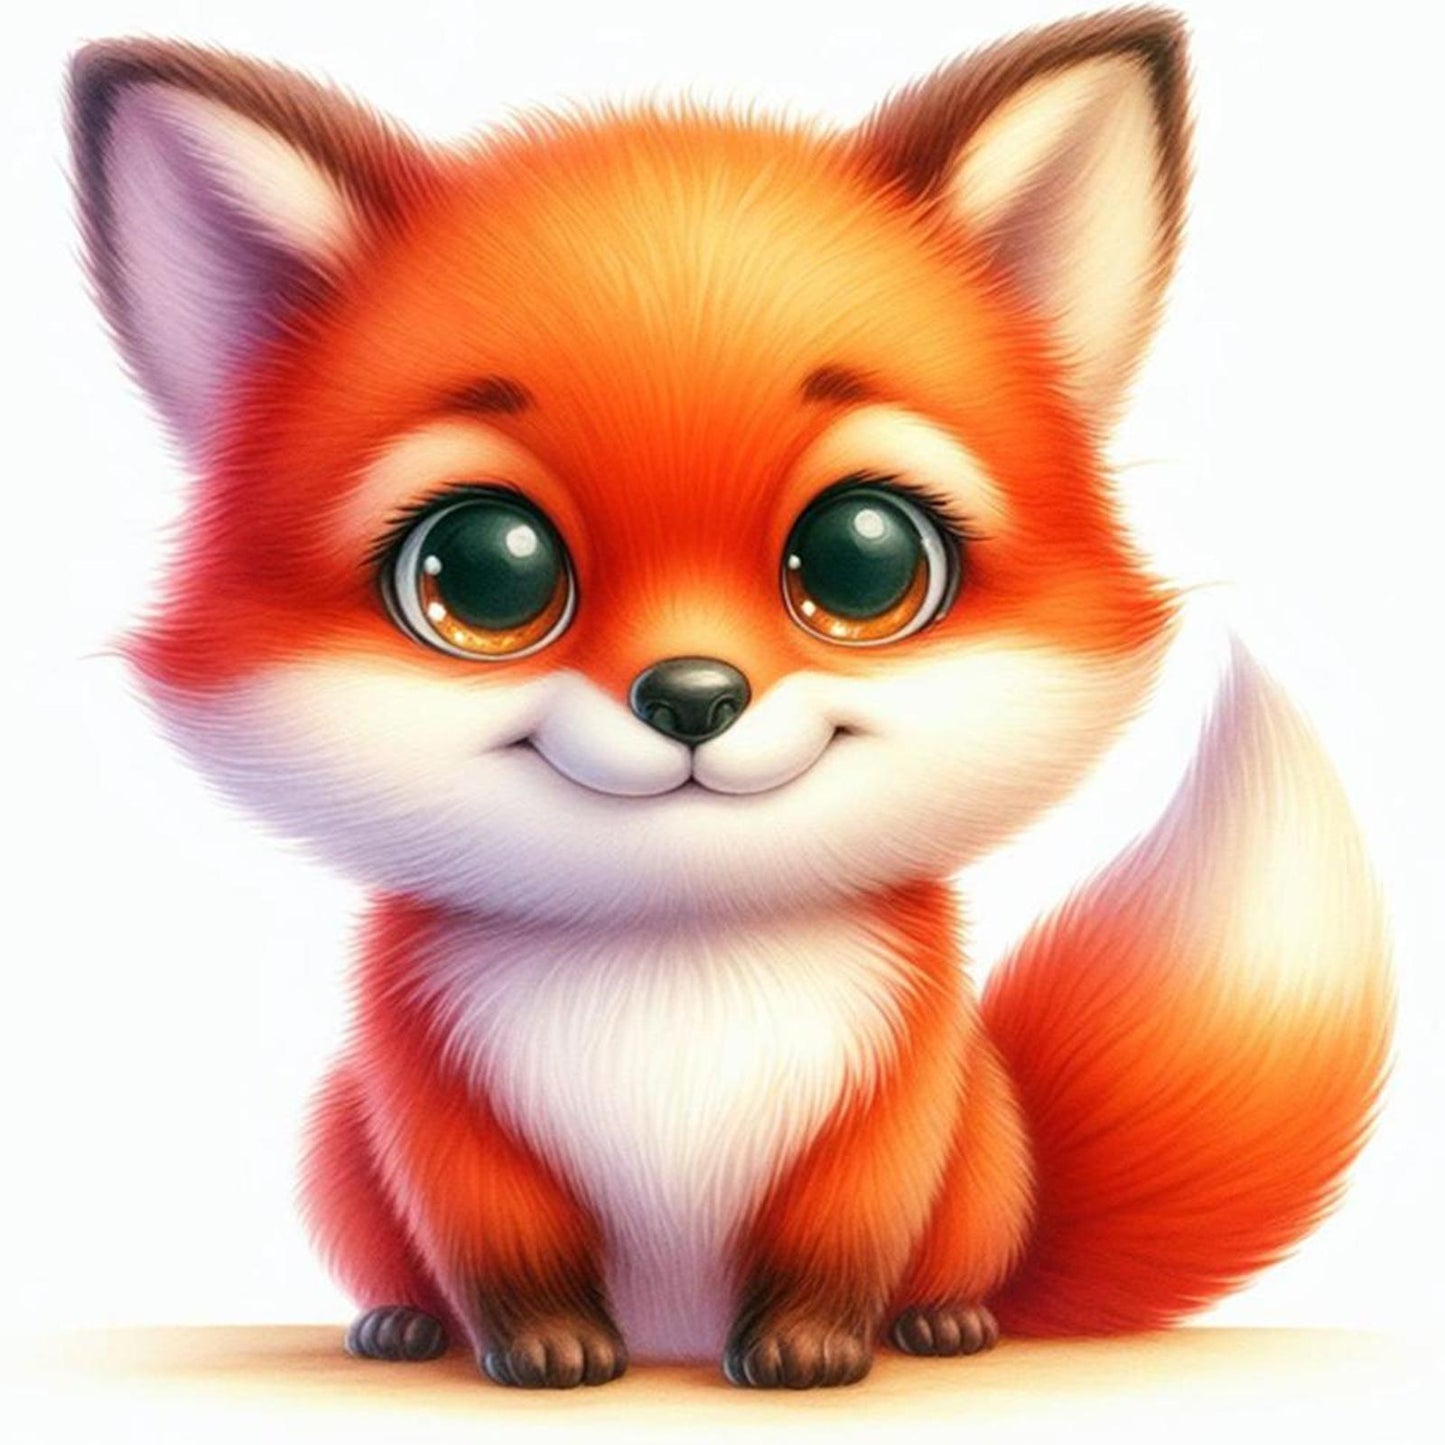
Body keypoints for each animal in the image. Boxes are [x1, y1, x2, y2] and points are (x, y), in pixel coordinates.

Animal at [67, 7, 1392, 1391]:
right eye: (485, 571)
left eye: (864, 558)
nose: (694, 693)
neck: (677, 957)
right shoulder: (434, 1099)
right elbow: (500, 1240)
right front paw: (539, 1344)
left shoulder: (893, 1093)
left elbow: (837, 1233)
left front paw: (810, 1344)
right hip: (339, 1134)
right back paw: (400, 1323)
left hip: (979, 1138)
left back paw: (945, 1319)